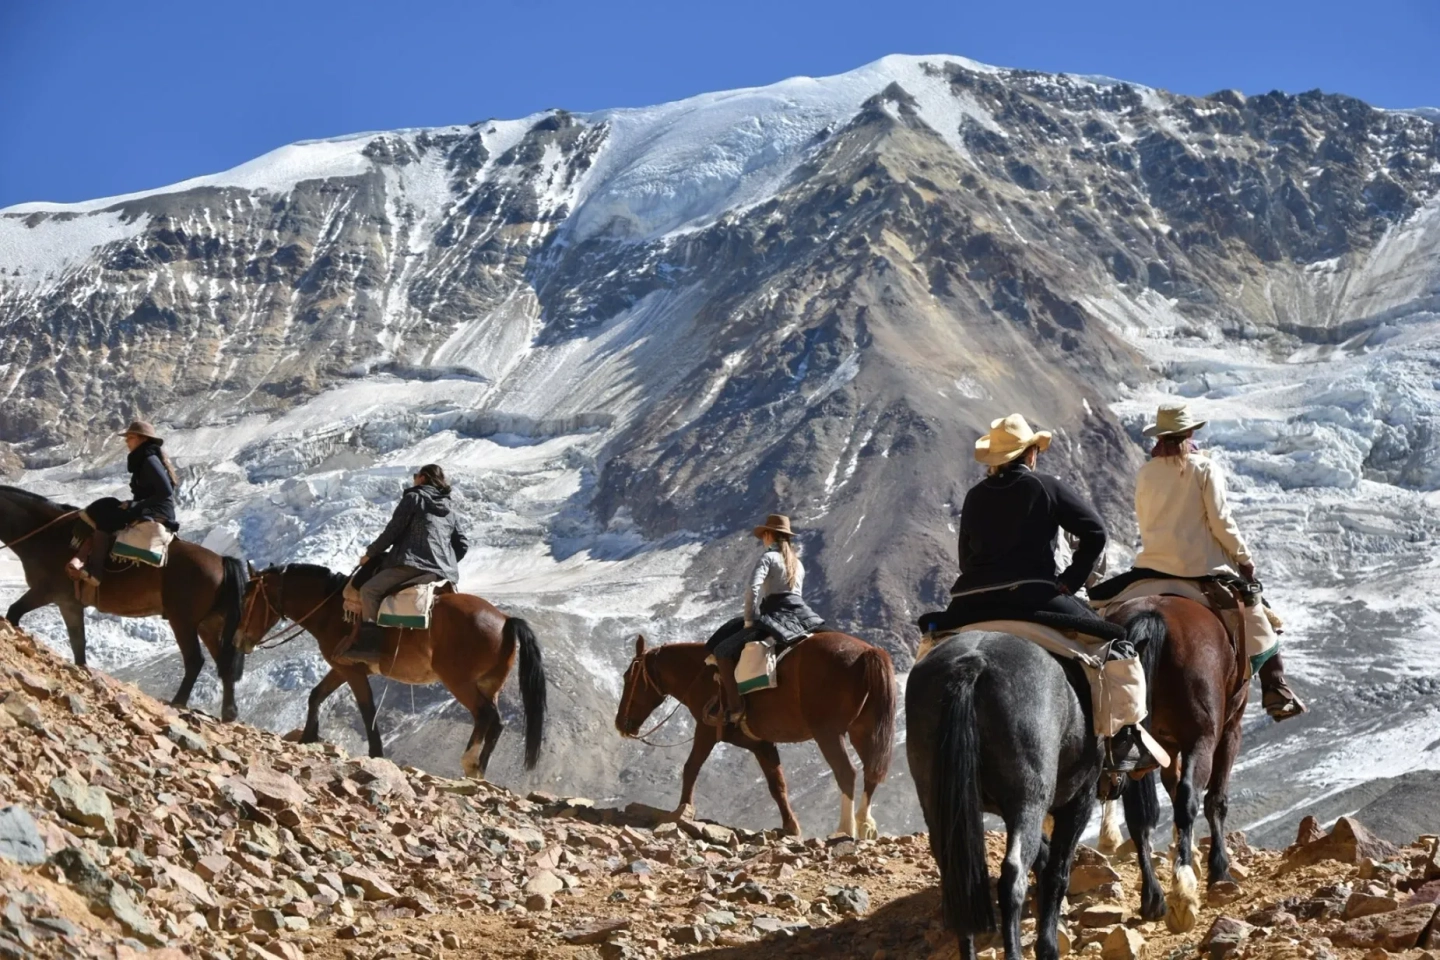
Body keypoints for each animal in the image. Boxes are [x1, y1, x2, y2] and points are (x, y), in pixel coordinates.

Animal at [0, 485, 248, 720]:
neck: (47, 535)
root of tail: (222, 561)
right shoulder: (69, 604)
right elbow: (78, 645)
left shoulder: (46, 593)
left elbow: (13, 613)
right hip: (208, 625)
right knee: (224, 663)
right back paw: (229, 713)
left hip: (183, 622)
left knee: (195, 660)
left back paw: (177, 702)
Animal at [237, 564, 546, 778]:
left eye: (248, 599)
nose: (239, 640)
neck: (333, 611)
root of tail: (505, 620)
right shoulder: (341, 668)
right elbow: (316, 695)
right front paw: (308, 737)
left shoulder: (352, 671)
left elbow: (367, 710)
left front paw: (376, 754)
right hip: (490, 684)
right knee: (496, 722)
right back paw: (478, 771)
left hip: (460, 682)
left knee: (485, 715)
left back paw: (470, 763)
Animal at [614, 633, 895, 839]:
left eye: (628, 677)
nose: (621, 724)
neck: (701, 675)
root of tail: (868, 653)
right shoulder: (762, 745)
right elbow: (777, 785)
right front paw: (791, 827)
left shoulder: (706, 730)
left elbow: (690, 767)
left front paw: (682, 810)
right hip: (863, 731)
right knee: (870, 773)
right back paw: (865, 825)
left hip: (828, 733)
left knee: (846, 772)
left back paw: (844, 830)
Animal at [905, 621, 1165, 960]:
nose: (1132, 771)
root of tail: (972, 663)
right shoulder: (1078, 801)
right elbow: (1057, 871)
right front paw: (1048, 946)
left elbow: (1044, 860)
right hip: (1029, 800)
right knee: (1013, 876)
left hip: (938, 804)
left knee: (958, 881)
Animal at [1098, 595, 1250, 933]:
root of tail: (1152, 616)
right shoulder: (1231, 728)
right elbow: (1214, 799)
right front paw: (1218, 870)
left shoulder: (1164, 747)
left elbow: (1167, 789)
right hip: (1203, 736)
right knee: (1190, 799)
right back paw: (1183, 895)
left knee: (1140, 817)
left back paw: (1153, 898)